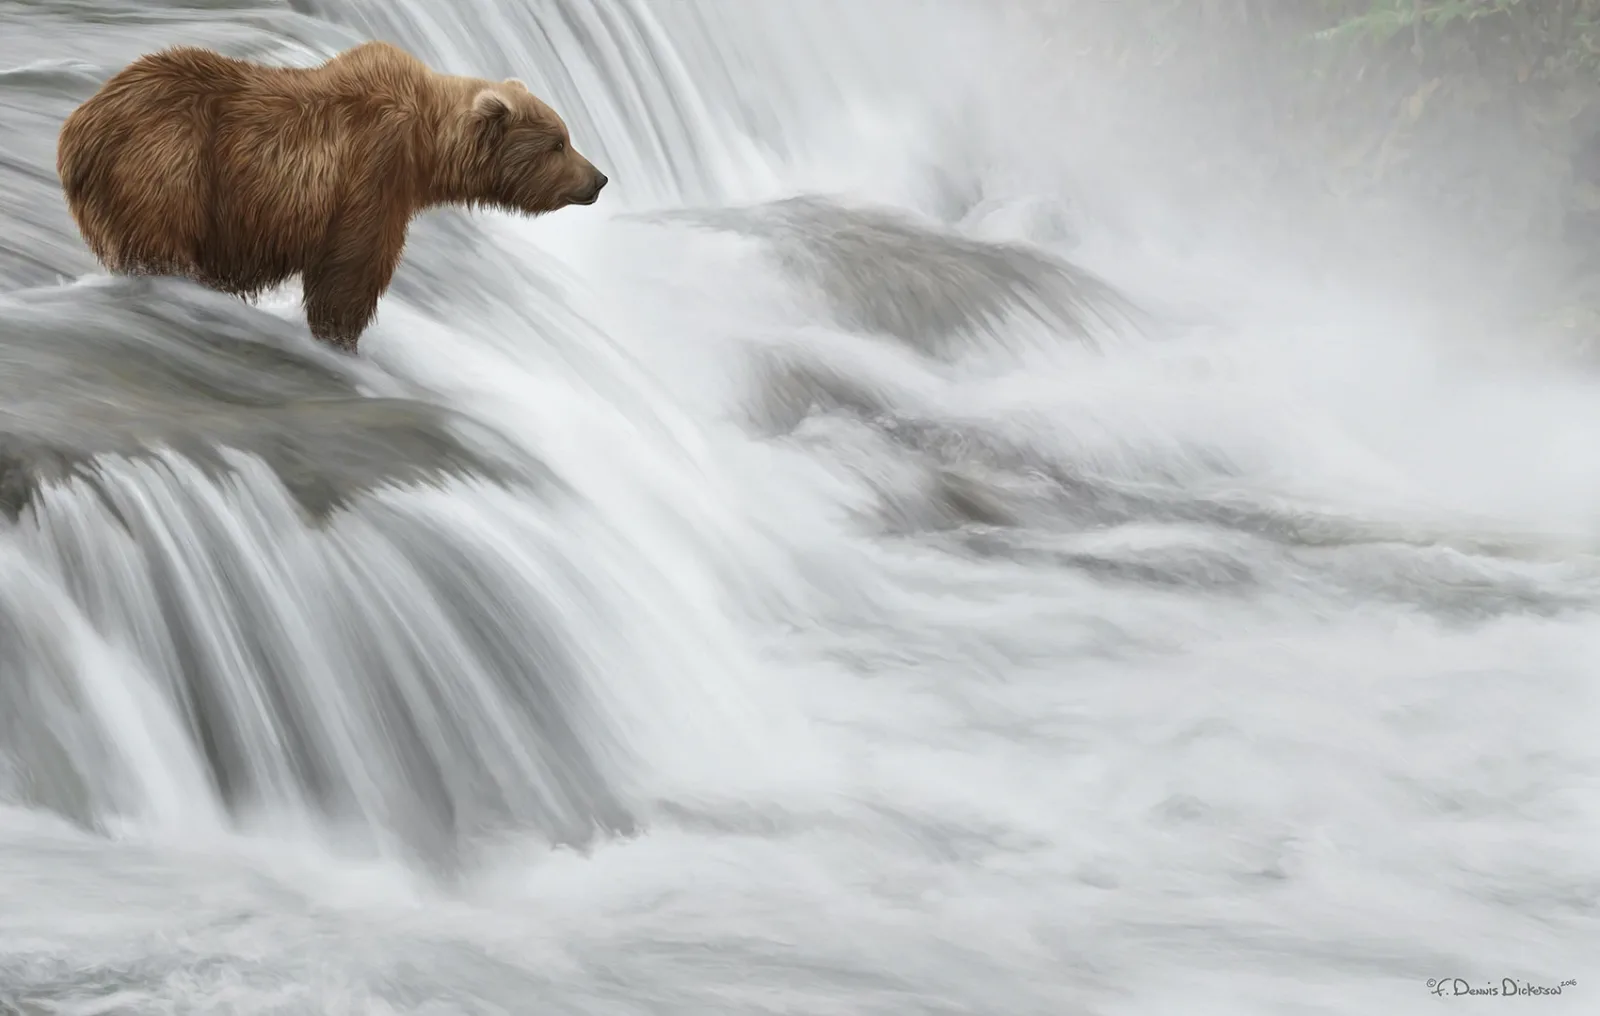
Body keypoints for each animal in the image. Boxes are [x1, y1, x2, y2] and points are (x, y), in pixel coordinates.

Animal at [56, 40, 608, 351]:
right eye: (558, 143)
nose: (599, 179)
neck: (426, 147)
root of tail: (78, 127)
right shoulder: (372, 172)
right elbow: (350, 272)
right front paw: (340, 340)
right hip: (168, 167)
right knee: (161, 244)